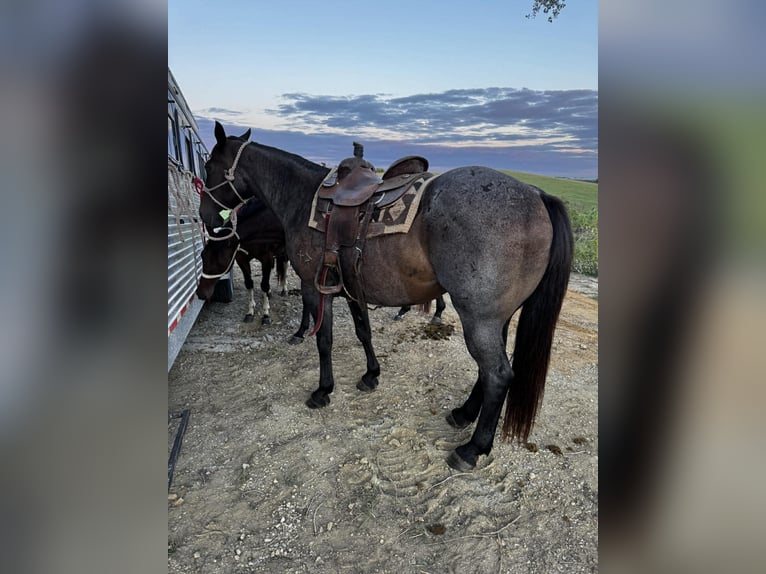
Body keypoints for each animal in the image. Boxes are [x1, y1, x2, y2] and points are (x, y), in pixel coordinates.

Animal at [195, 197, 311, 341]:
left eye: (219, 262)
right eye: (202, 256)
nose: (201, 293)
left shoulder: (266, 258)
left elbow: (264, 284)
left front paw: (266, 314)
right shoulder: (241, 259)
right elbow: (249, 283)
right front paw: (250, 312)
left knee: (284, 267)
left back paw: (284, 289)